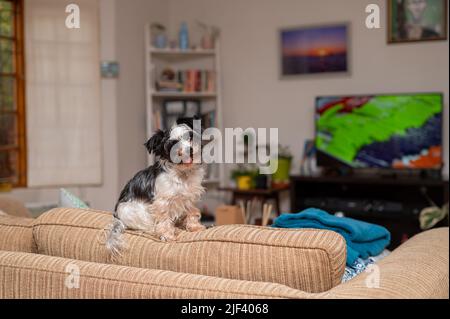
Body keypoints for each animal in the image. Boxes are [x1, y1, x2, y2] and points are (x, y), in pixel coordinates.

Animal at [105, 118, 206, 258]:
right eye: (172, 144)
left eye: (190, 137)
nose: (189, 150)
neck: (182, 174)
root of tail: (117, 217)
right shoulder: (162, 202)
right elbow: (164, 220)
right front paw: (167, 235)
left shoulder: (189, 199)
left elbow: (192, 212)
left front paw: (194, 227)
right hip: (133, 211)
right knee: (149, 227)